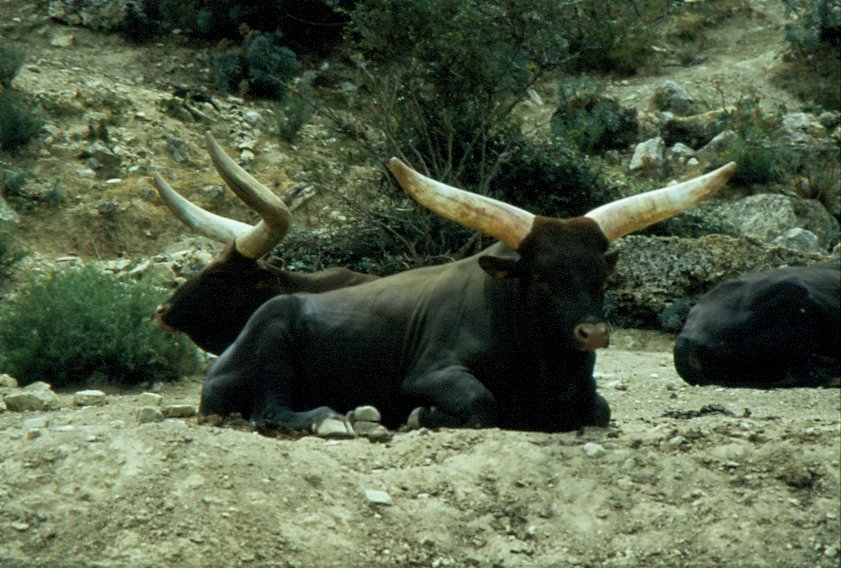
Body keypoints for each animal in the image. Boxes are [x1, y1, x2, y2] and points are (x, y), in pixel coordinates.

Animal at [200, 158, 732, 432]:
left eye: (601, 276)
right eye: (542, 277)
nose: (594, 333)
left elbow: (599, 410)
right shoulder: (429, 372)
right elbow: (480, 403)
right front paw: (421, 416)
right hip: (273, 335)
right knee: (269, 409)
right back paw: (331, 418)